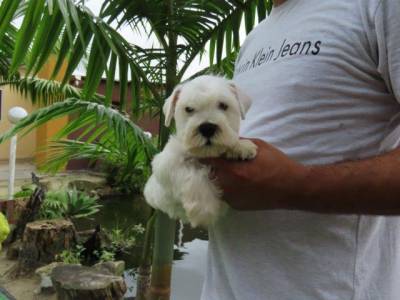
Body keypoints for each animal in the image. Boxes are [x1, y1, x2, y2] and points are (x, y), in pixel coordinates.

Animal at [144, 75, 256, 227]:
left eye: (223, 105)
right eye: (189, 109)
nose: (207, 128)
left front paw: (240, 146)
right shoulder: (165, 164)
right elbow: (192, 173)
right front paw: (204, 209)